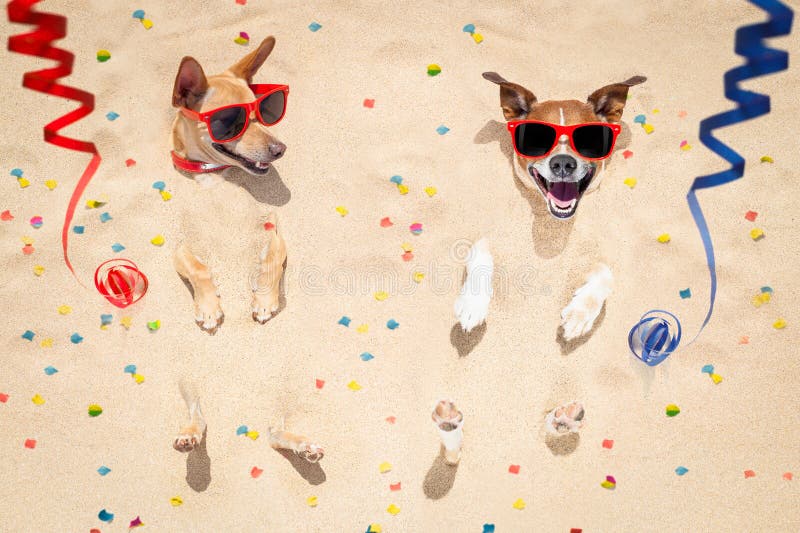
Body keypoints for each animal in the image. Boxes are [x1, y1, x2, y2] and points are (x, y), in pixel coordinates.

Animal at [456, 71, 644, 340]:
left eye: (589, 139)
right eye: (536, 138)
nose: (563, 163)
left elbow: (605, 275)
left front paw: (580, 313)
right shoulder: (487, 231)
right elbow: (482, 257)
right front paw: (472, 304)